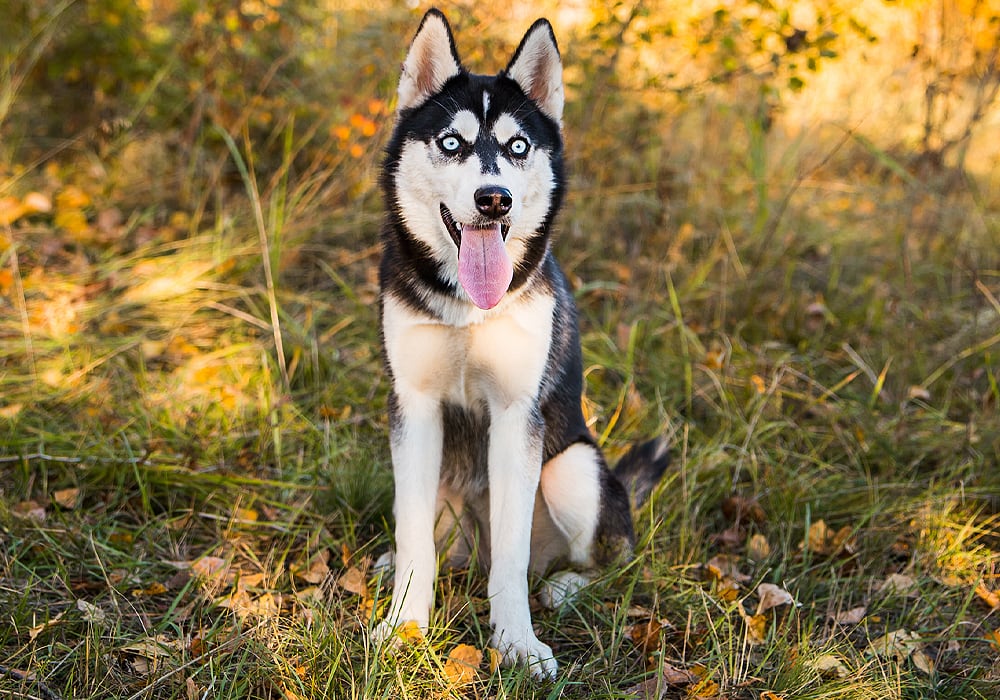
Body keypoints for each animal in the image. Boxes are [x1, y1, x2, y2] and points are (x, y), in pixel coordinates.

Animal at [376, 9, 672, 680]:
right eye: (451, 143)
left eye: (517, 147)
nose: (494, 198)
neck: (467, 307)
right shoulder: (415, 410)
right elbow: (413, 538)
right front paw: (404, 627)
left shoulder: (518, 419)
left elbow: (511, 558)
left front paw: (515, 643)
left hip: (575, 469)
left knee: (609, 561)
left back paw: (565, 587)